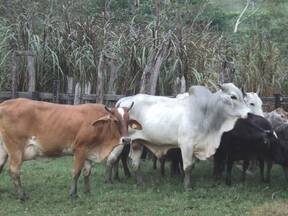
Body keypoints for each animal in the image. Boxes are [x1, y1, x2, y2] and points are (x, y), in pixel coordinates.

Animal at [0, 98, 141, 200]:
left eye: (129, 121)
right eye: (115, 120)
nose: (126, 140)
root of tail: (5, 103)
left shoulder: (88, 152)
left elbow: (87, 172)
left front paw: (87, 192)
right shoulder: (80, 149)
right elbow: (76, 172)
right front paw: (73, 194)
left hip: (3, 150)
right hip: (16, 149)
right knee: (14, 171)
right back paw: (22, 196)